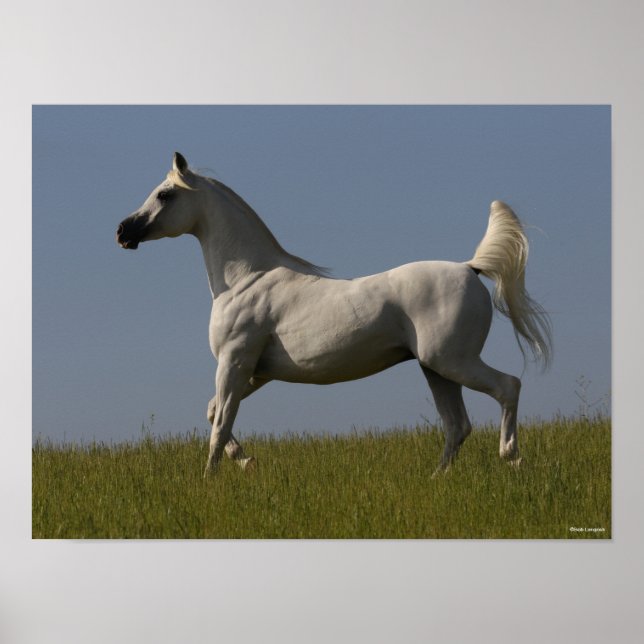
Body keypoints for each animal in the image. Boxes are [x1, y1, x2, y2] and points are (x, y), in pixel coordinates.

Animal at [117, 152, 552, 477]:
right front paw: (247, 461)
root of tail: (470, 267)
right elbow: (213, 413)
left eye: (164, 194)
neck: (246, 279)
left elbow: (220, 424)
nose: (123, 231)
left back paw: (511, 457)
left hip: (452, 361)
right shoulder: (257, 371)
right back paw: (436, 478)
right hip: (436, 369)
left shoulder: (235, 362)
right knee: (457, 425)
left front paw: (209, 479)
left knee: (507, 387)